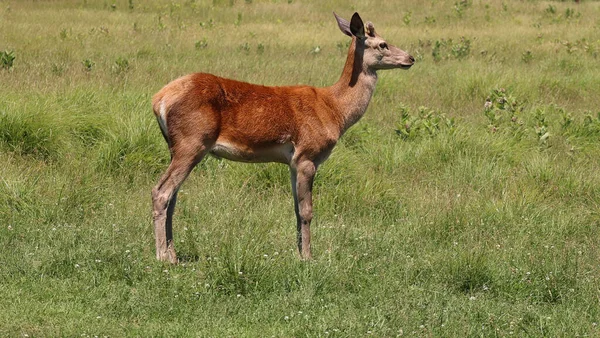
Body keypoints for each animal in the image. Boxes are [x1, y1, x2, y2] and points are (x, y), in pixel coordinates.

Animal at [151, 11, 412, 264]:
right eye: (382, 44)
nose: (410, 58)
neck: (334, 110)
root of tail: (159, 99)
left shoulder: (293, 162)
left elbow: (296, 209)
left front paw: (298, 252)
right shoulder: (307, 155)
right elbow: (307, 210)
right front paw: (308, 258)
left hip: (176, 145)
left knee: (173, 197)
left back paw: (173, 254)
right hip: (192, 141)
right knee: (161, 192)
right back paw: (162, 257)